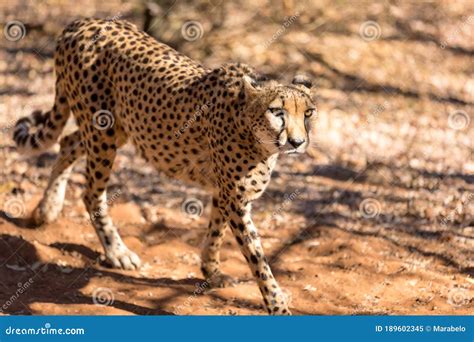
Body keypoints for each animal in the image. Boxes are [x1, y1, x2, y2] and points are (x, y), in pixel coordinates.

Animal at [13, 17, 318, 314]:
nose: (297, 142)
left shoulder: (226, 193)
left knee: (67, 142)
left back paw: (47, 209)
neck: (254, 132)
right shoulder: (235, 198)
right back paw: (116, 252)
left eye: (308, 113)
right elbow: (258, 260)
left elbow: (216, 232)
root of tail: (81, 23)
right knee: (90, 193)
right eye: (277, 112)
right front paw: (278, 306)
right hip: (102, 131)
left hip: (115, 128)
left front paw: (211, 271)